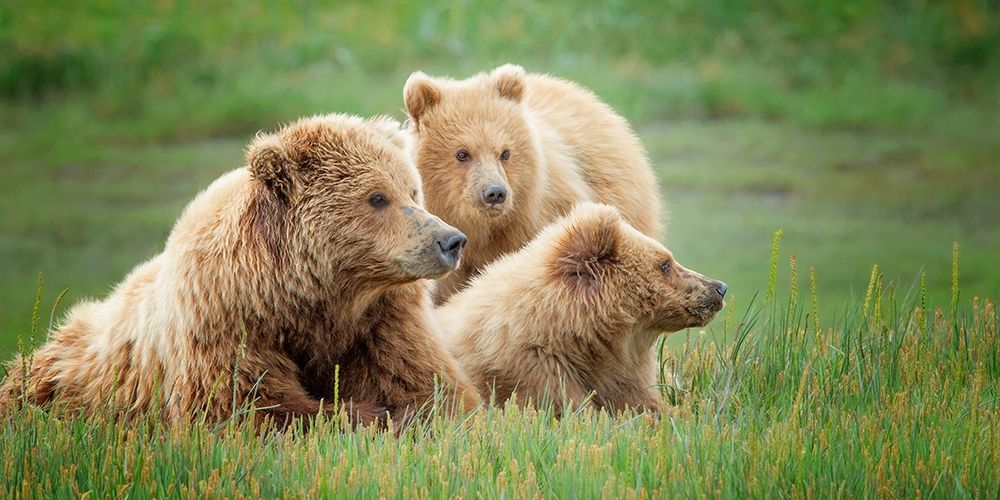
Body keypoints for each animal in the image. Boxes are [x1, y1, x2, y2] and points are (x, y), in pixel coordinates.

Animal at [0, 113, 480, 429]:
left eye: (412, 190)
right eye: (377, 197)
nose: (450, 240)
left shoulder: (381, 321)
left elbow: (429, 389)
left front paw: (405, 412)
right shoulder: (228, 320)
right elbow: (247, 409)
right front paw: (366, 413)